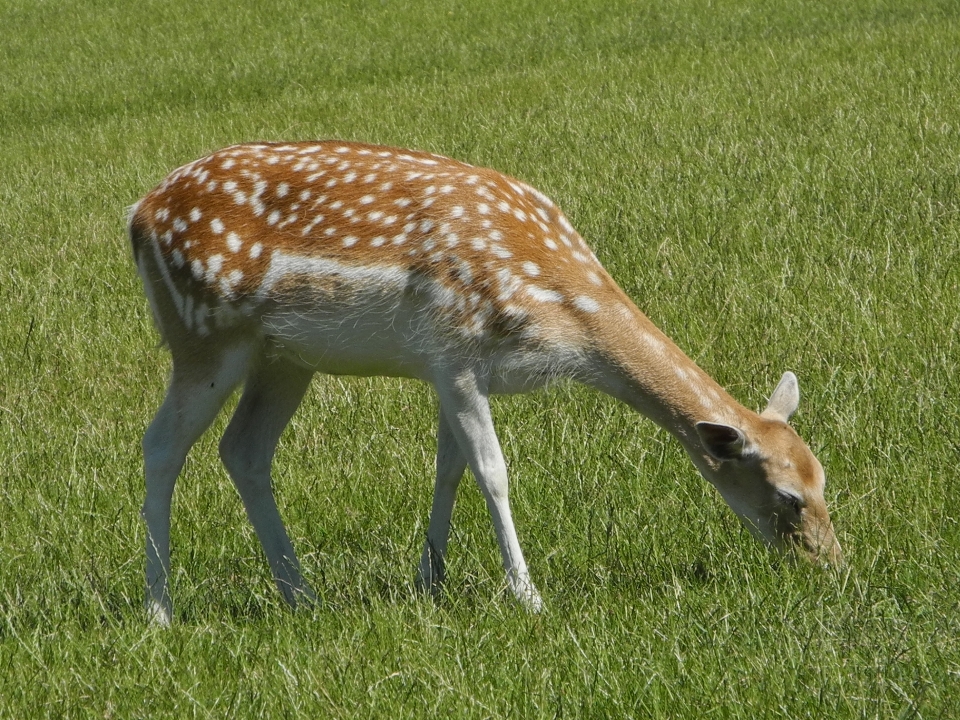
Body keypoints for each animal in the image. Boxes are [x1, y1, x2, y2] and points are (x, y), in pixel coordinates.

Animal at [127, 141, 840, 624]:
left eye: (823, 479)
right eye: (788, 498)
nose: (830, 564)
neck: (557, 309)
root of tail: (137, 216)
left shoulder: (452, 372)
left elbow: (449, 469)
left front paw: (430, 582)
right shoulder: (456, 355)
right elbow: (492, 470)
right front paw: (528, 596)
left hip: (283, 359)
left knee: (243, 450)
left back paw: (302, 595)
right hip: (204, 335)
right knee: (160, 444)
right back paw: (161, 609)